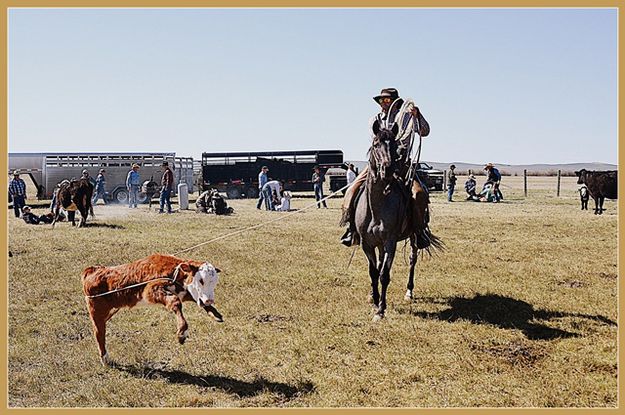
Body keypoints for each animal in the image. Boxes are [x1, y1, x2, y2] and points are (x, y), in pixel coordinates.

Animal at [80, 254, 222, 368]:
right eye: (201, 280)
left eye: (215, 281)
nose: (209, 300)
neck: (174, 273)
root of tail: (92, 270)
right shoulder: (151, 289)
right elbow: (176, 302)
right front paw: (182, 332)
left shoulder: (183, 291)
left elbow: (192, 298)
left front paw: (215, 314)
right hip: (96, 312)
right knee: (99, 333)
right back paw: (105, 359)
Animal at [354, 123, 442, 322]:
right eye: (376, 144)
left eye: (395, 146)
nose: (387, 170)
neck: (376, 207)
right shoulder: (367, 244)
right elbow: (374, 272)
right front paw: (375, 300)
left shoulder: (390, 242)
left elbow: (384, 275)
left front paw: (380, 310)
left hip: (415, 236)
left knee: (412, 260)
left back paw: (409, 292)